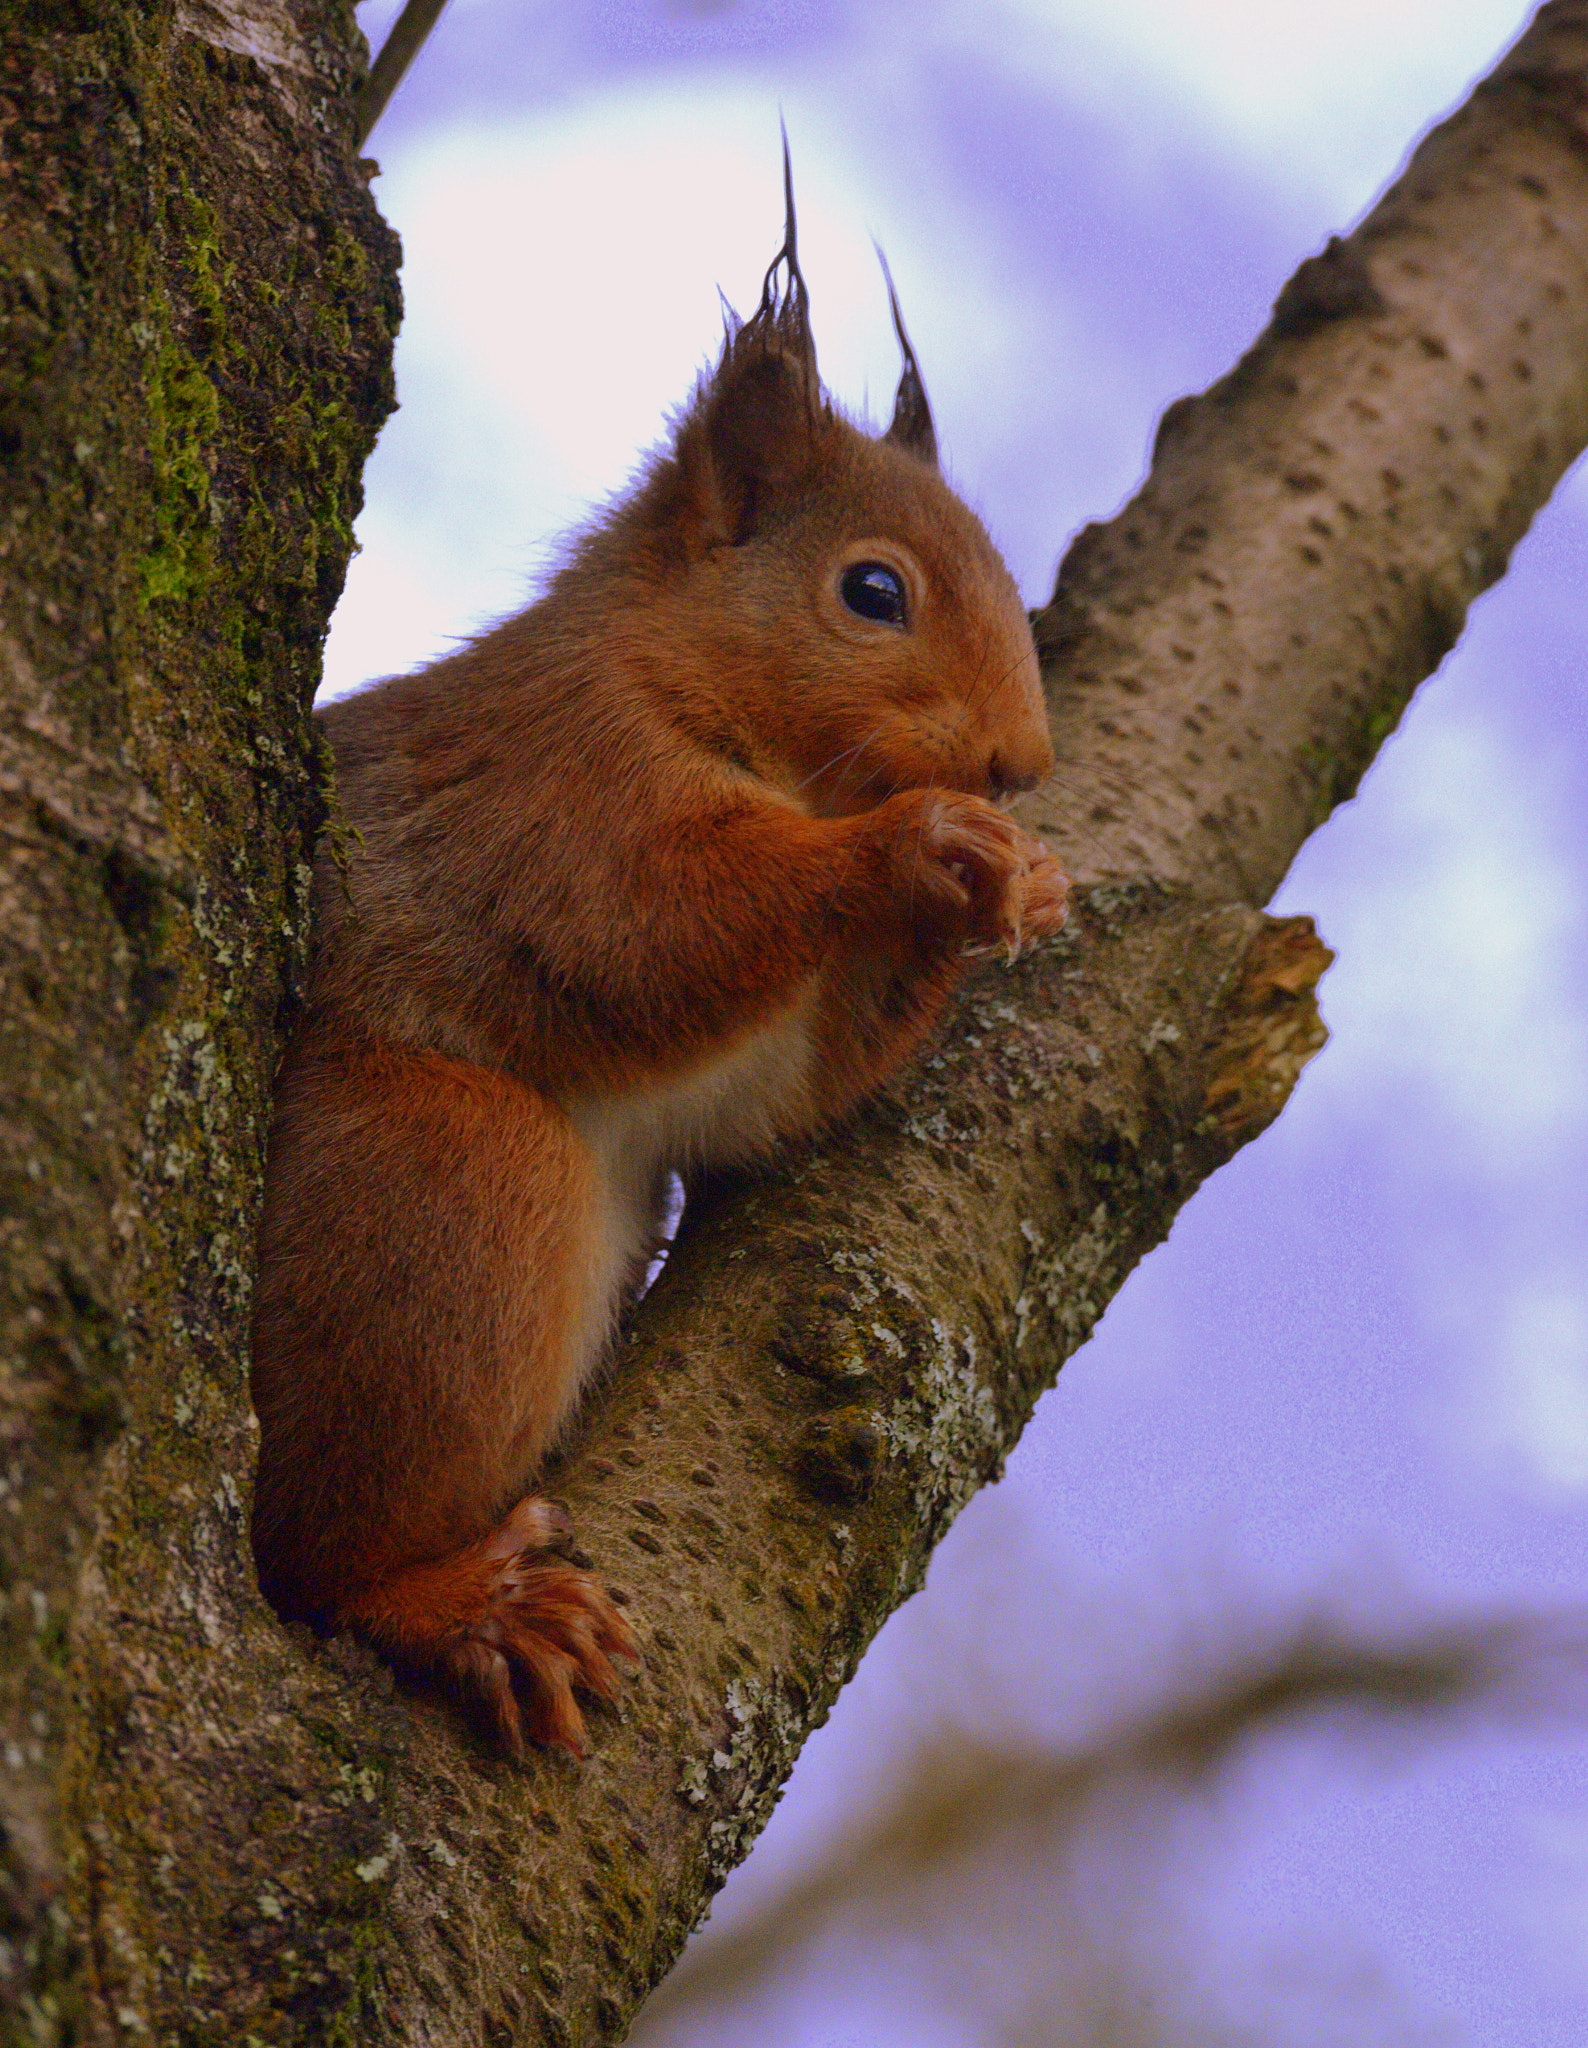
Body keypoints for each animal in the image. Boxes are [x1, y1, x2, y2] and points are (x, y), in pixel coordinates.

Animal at [249, 161, 1070, 1758]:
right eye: (872, 592)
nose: (1020, 762)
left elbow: (783, 1100)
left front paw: (1016, 888)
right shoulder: (558, 791)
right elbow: (648, 934)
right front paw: (916, 845)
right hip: (441, 1186)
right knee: (320, 1560)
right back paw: (463, 1606)